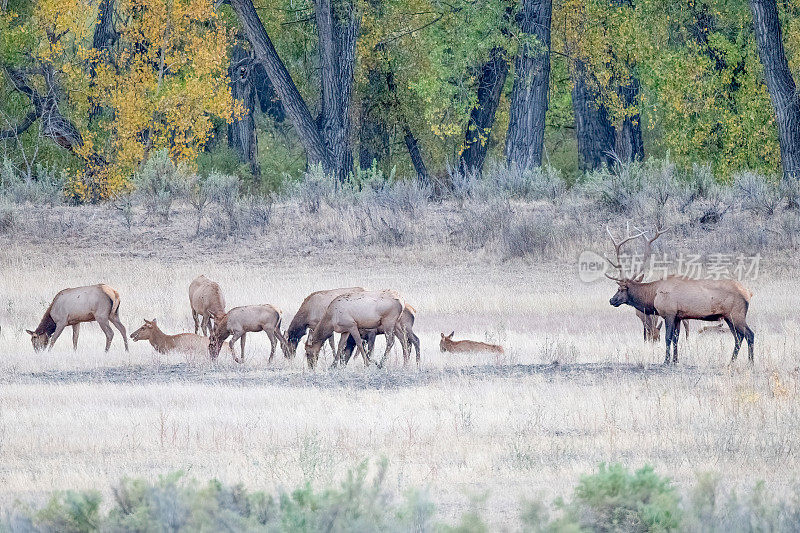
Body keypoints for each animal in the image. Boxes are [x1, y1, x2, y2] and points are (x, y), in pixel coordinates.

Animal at [608, 224, 756, 366]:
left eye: (620, 289)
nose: (611, 300)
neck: (653, 295)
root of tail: (748, 293)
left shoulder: (669, 313)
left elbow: (668, 337)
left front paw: (666, 361)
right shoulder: (679, 316)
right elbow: (676, 338)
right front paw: (675, 360)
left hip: (736, 314)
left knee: (750, 334)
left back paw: (750, 362)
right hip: (728, 317)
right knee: (738, 337)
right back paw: (731, 362)